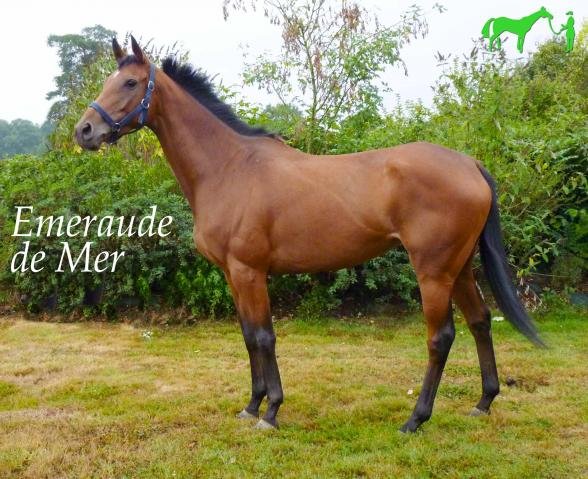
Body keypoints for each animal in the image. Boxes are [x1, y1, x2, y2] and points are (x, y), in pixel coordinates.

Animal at [75, 36, 544, 433]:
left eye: (130, 82)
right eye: (108, 80)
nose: (84, 131)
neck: (229, 167)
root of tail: (470, 164)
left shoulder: (249, 271)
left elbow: (263, 336)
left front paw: (271, 412)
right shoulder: (233, 274)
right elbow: (248, 336)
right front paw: (251, 406)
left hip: (433, 272)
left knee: (440, 337)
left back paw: (415, 419)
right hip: (459, 267)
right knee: (480, 322)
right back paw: (483, 402)